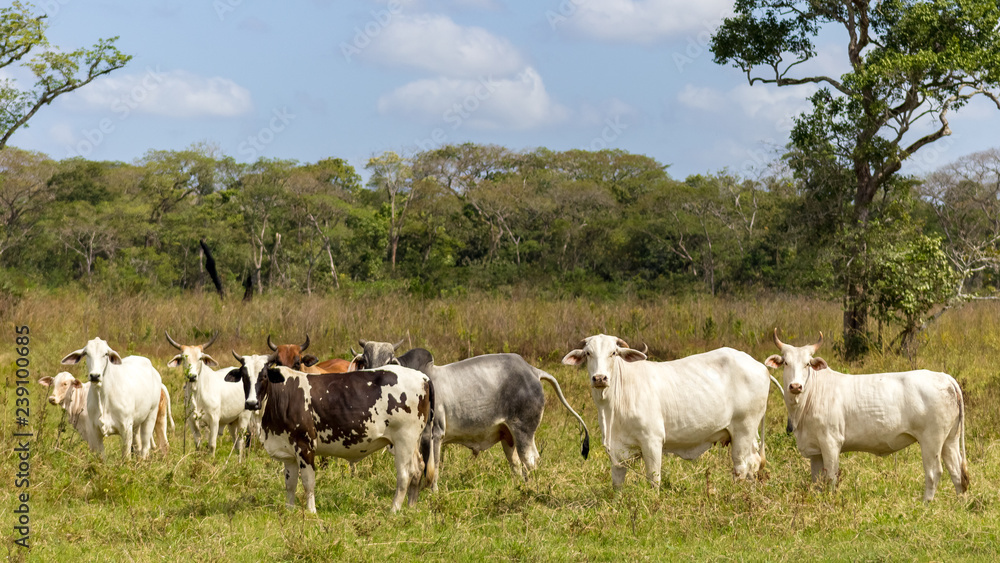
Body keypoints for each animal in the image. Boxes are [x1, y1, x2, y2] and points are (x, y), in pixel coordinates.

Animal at [164, 332, 250, 460]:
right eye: (184, 357)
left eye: (200, 358)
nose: (192, 376)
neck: (197, 395)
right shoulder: (191, 420)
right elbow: (198, 444)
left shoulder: (214, 420)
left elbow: (212, 445)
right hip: (232, 421)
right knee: (236, 442)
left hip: (244, 417)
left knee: (240, 442)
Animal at [229, 354, 436, 512]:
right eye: (244, 377)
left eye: (264, 375)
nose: (251, 403)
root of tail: (422, 377)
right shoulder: (287, 451)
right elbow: (290, 483)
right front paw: (289, 510)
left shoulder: (305, 446)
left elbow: (308, 481)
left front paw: (311, 511)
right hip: (412, 441)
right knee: (418, 468)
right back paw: (411, 507)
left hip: (404, 440)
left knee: (405, 475)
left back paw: (394, 510)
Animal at [354, 342, 588, 492]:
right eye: (366, 361)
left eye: (388, 361)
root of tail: (533, 370)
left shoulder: (435, 434)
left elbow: (433, 467)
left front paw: (433, 492)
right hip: (508, 437)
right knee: (516, 464)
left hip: (524, 431)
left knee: (531, 460)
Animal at [568, 334, 768, 490]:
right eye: (588, 353)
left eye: (613, 353)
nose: (600, 378)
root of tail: (761, 366)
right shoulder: (616, 449)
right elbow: (617, 483)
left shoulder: (652, 441)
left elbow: (653, 479)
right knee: (754, 463)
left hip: (743, 430)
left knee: (741, 467)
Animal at [764, 330, 968, 502]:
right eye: (786, 362)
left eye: (807, 364)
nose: (795, 386)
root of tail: (943, 377)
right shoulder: (815, 450)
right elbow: (817, 480)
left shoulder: (831, 442)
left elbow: (830, 477)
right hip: (950, 439)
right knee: (957, 472)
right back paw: (960, 504)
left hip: (931, 440)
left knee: (934, 472)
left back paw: (925, 504)